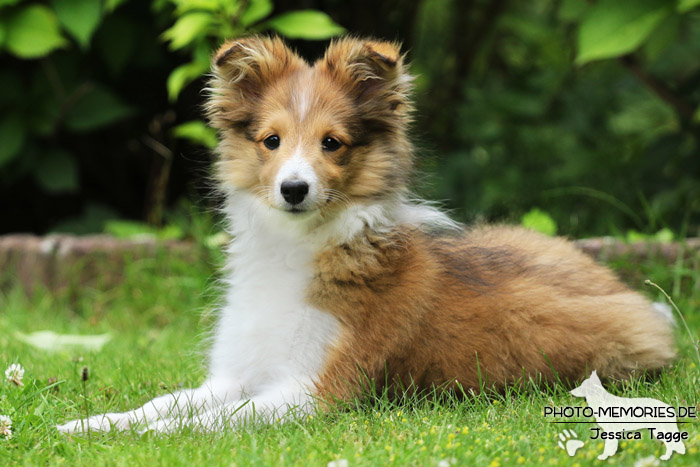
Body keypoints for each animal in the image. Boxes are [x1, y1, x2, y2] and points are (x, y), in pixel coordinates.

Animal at [57, 36, 676, 436]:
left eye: (332, 143)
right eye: (271, 140)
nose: (294, 189)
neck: (297, 249)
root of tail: (635, 298)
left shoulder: (313, 390)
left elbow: (207, 422)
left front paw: (147, 440)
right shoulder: (236, 374)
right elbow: (163, 403)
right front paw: (90, 424)